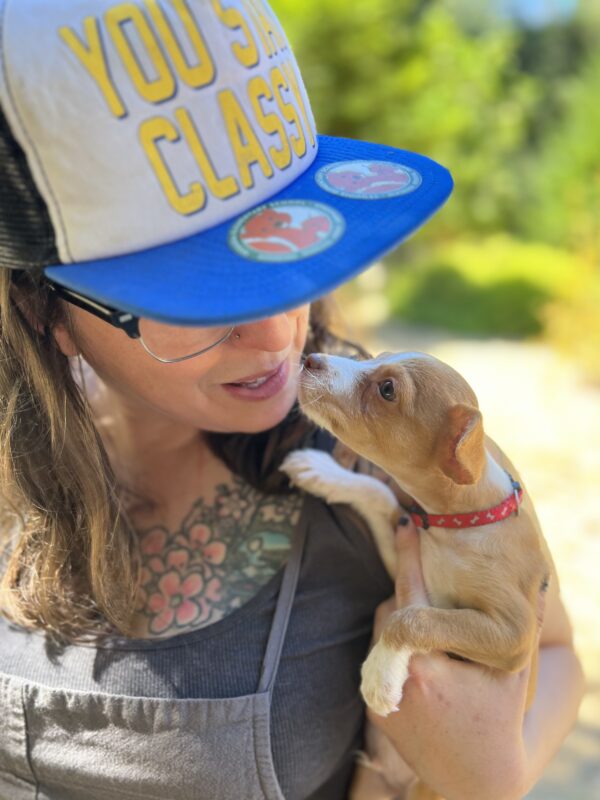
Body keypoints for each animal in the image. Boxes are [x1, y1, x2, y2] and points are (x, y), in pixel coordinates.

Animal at [278, 350, 552, 800]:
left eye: (388, 390)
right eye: (376, 358)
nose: (311, 357)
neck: (457, 527)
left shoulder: (515, 634)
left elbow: (413, 617)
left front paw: (379, 674)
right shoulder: (408, 551)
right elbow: (378, 493)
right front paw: (324, 472)